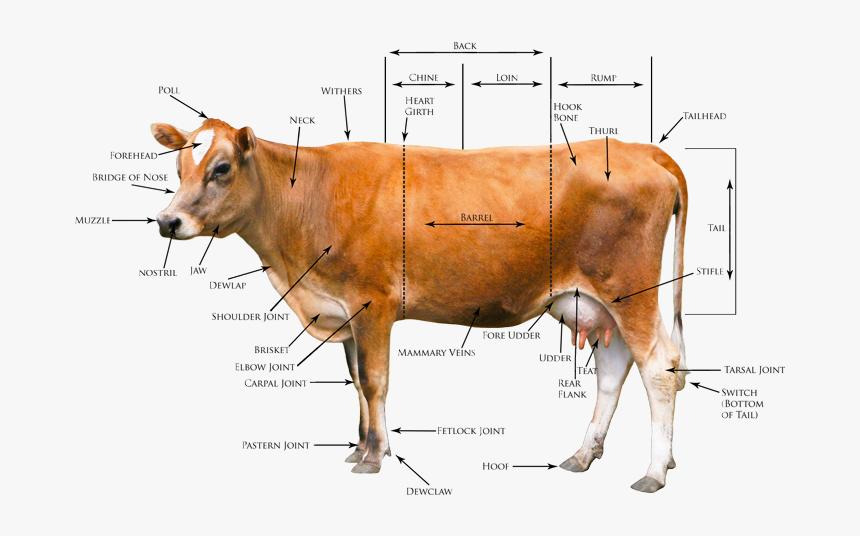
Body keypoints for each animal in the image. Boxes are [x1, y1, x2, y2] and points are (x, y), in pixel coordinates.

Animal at [151, 118, 689, 492]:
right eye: (177, 168)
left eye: (221, 168)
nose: (167, 221)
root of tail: (637, 149)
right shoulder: (345, 312)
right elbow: (358, 383)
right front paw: (365, 448)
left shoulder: (372, 303)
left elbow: (375, 382)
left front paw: (373, 458)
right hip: (593, 301)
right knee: (614, 368)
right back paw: (584, 453)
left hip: (629, 290)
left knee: (659, 366)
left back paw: (654, 472)